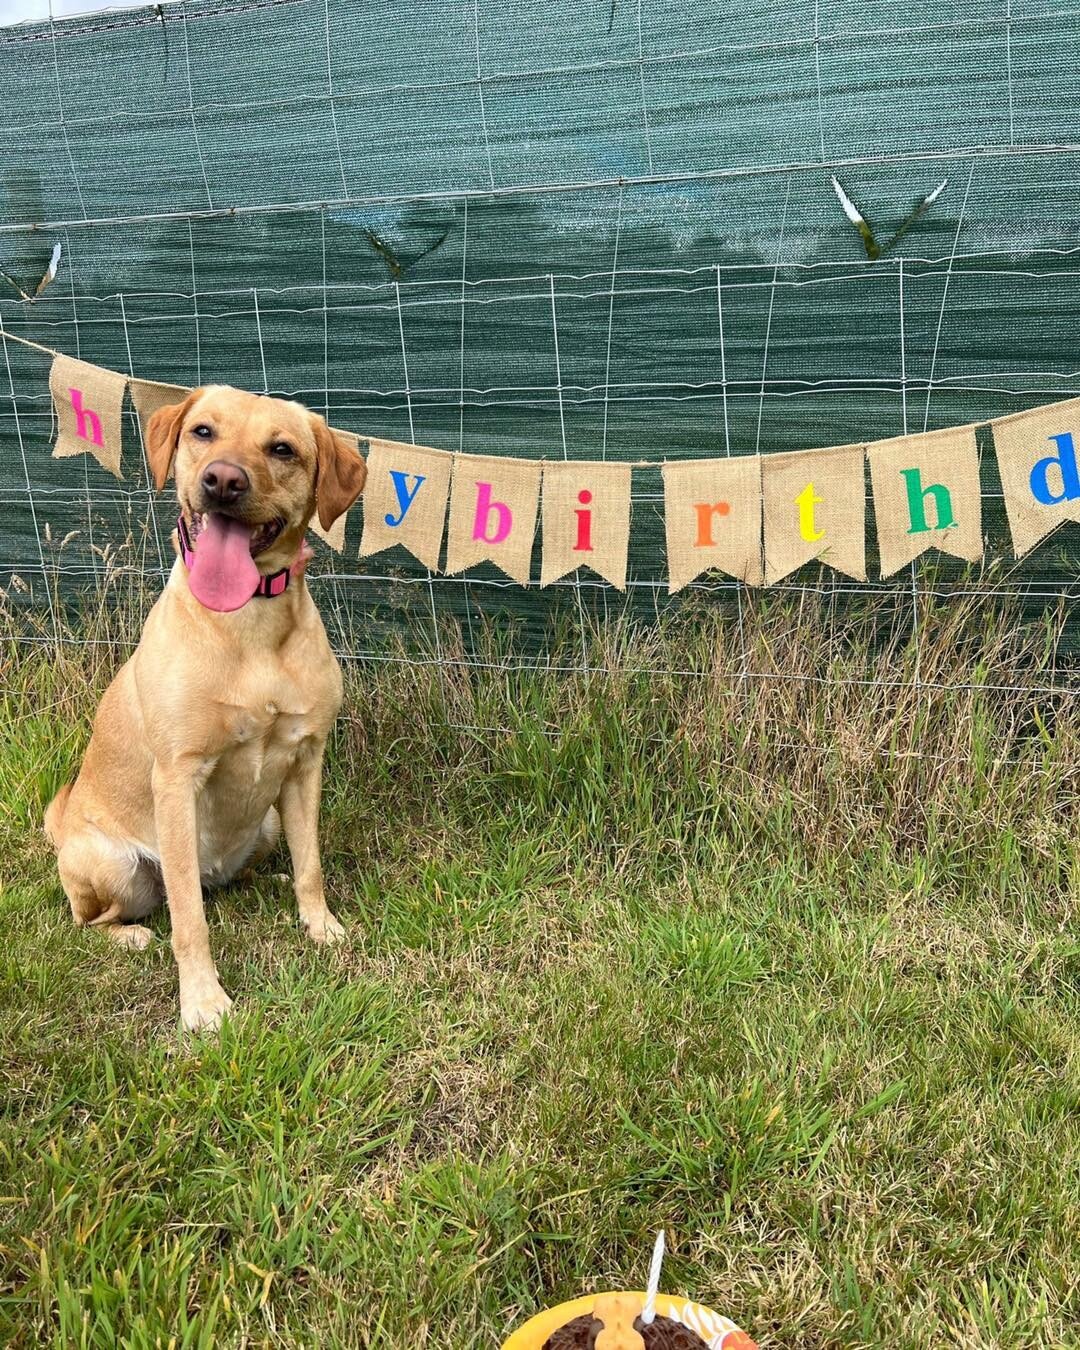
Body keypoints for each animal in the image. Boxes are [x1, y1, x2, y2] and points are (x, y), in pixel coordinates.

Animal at [44, 386, 364, 1026]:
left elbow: (311, 865)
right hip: (113, 864)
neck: (249, 623)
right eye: (203, 432)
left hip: (267, 821)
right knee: (96, 918)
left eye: (282, 449)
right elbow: (188, 918)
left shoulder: (305, 762)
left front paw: (321, 926)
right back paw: (130, 935)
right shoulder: (177, 777)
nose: (222, 480)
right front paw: (203, 1000)